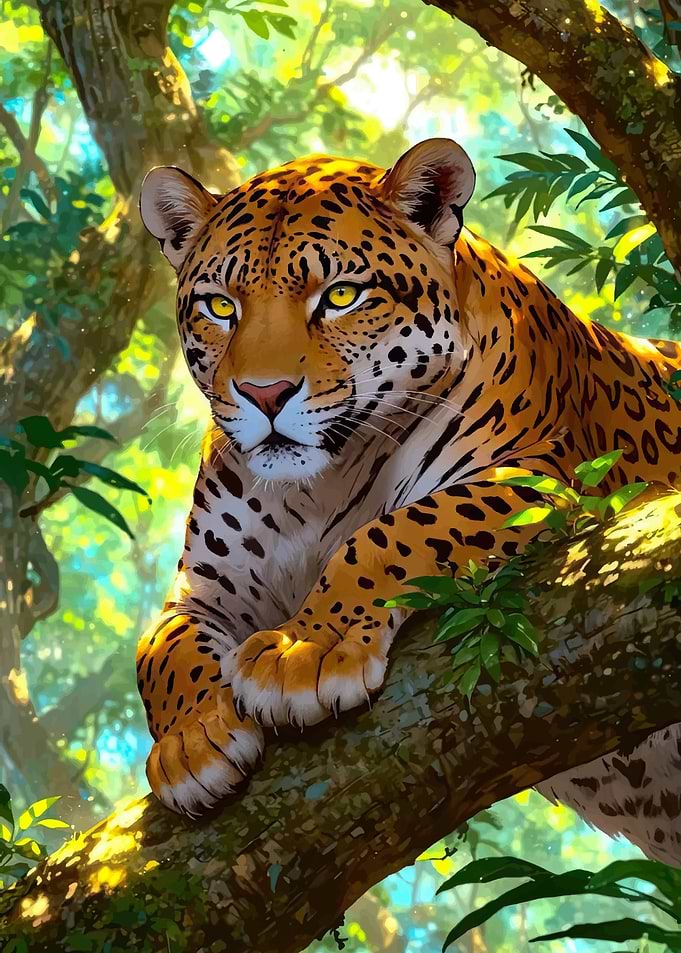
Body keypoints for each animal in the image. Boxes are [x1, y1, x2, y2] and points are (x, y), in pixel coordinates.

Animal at [138, 137, 681, 864]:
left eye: (340, 296)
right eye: (221, 307)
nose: (264, 393)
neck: (321, 484)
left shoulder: (537, 481)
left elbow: (391, 533)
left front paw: (307, 649)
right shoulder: (202, 588)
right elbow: (160, 651)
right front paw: (190, 739)